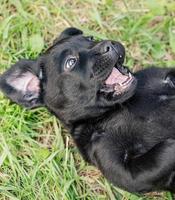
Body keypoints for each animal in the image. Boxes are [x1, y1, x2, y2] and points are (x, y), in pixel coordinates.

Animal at [1, 27, 175, 193]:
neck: (114, 110)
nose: (109, 44)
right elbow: (161, 155)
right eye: (71, 62)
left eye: (90, 38)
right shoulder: (127, 172)